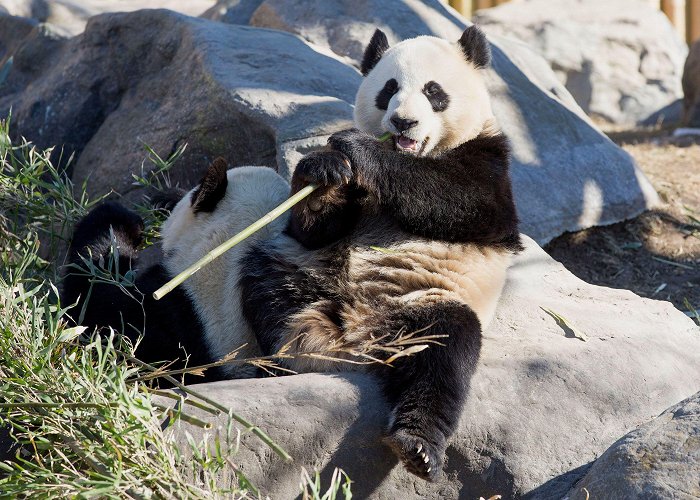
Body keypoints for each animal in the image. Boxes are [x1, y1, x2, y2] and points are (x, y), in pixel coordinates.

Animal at [239, 26, 520, 480]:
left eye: (433, 92)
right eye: (388, 90)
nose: (403, 121)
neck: (416, 150)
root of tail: (353, 335)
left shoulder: (491, 163)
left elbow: (458, 199)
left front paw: (360, 148)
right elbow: (313, 231)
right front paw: (323, 168)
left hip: (421, 303)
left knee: (444, 353)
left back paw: (418, 445)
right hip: (305, 275)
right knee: (264, 279)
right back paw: (277, 359)